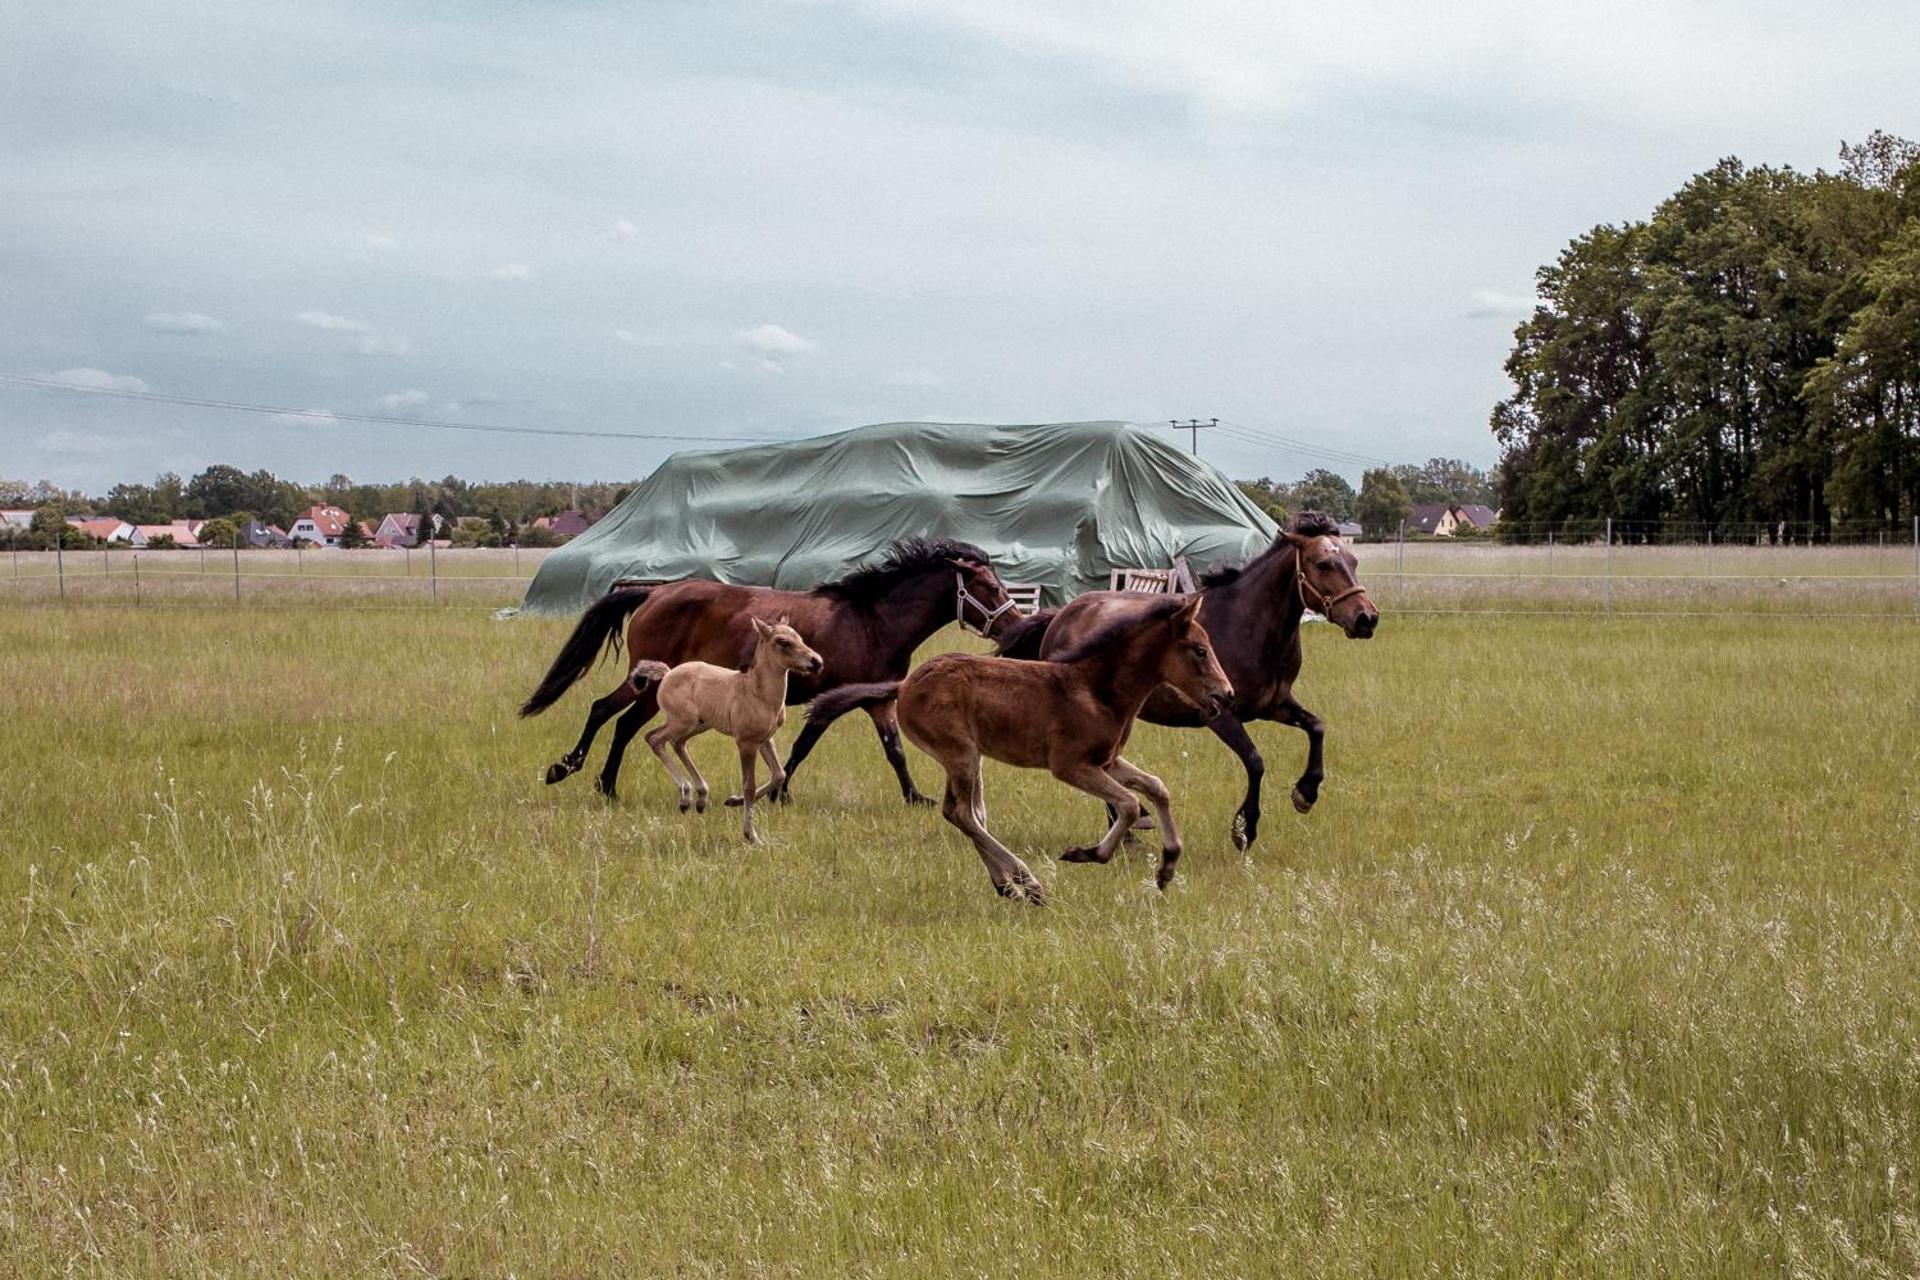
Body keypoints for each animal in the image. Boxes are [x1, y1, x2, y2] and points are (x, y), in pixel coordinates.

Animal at [519, 537, 1019, 804]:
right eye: (992, 589)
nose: (1015, 625)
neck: (873, 621)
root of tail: (653, 593)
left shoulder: (876, 700)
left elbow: (893, 750)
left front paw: (916, 797)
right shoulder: (841, 697)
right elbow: (805, 746)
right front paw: (776, 793)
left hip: (648, 681)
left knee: (606, 711)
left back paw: (588, 778)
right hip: (654, 684)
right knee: (617, 719)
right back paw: (586, 776)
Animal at [630, 616, 824, 843]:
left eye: (800, 637)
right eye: (783, 642)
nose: (817, 662)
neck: (759, 695)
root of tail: (667, 674)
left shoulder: (765, 739)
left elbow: (779, 774)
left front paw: (732, 801)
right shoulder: (746, 742)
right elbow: (749, 786)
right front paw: (752, 836)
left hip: (700, 724)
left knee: (676, 742)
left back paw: (698, 798)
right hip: (683, 722)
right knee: (654, 738)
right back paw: (686, 796)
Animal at [805, 594, 1233, 903]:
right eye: (1199, 650)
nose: (1226, 695)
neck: (1098, 689)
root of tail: (904, 685)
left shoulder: (1106, 761)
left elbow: (1157, 787)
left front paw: (1168, 867)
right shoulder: (1071, 765)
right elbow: (1129, 804)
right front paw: (1087, 853)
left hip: (967, 756)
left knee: (969, 813)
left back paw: (1010, 886)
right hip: (960, 752)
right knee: (962, 813)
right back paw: (1027, 880)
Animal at [990, 512, 1378, 850]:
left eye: (1354, 561)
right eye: (1323, 564)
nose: (1366, 618)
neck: (1247, 625)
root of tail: (1062, 614)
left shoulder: (1276, 705)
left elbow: (1317, 727)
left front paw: (1305, 793)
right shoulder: (1220, 714)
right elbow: (1255, 761)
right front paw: (1245, 829)